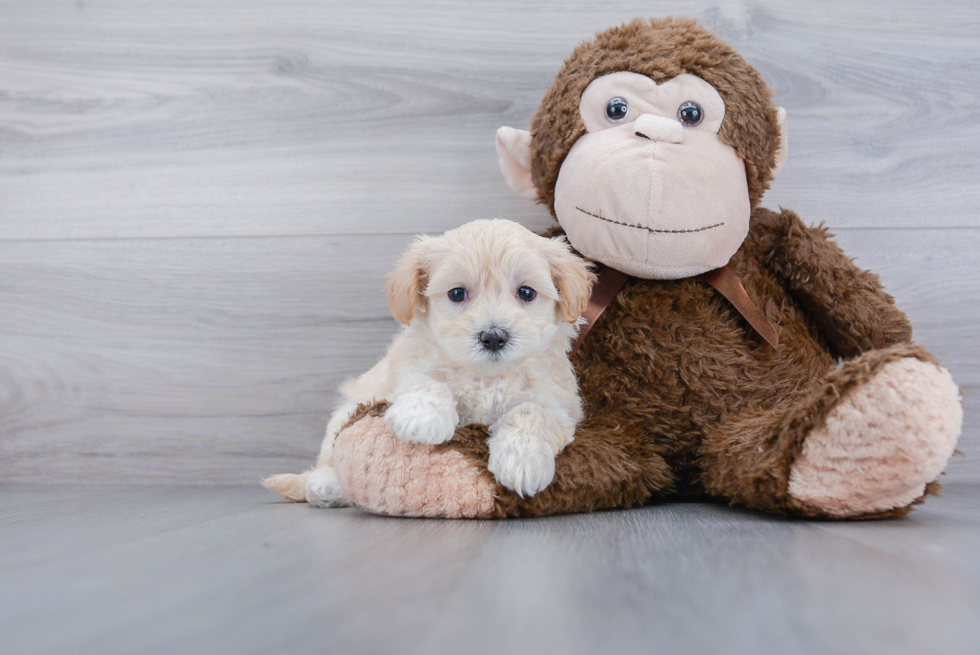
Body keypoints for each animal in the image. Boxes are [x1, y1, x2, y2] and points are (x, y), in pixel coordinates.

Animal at [264, 220, 592, 508]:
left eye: (526, 292)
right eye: (457, 293)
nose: (493, 336)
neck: (486, 377)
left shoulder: (559, 405)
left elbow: (532, 412)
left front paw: (521, 461)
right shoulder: (408, 369)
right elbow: (428, 382)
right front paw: (422, 417)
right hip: (346, 411)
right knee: (329, 457)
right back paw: (327, 485)